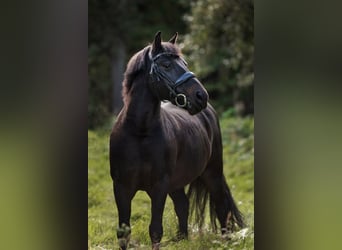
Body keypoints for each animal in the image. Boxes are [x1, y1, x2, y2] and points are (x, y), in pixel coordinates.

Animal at [109, 32, 243, 249]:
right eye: (166, 65)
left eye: (185, 63)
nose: (201, 96)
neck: (139, 133)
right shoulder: (121, 188)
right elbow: (124, 232)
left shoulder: (159, 187)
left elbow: (155, 230)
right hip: (177, 183)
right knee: (183, 205)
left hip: (212, 173)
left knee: (221, 207)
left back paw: (225, 241)